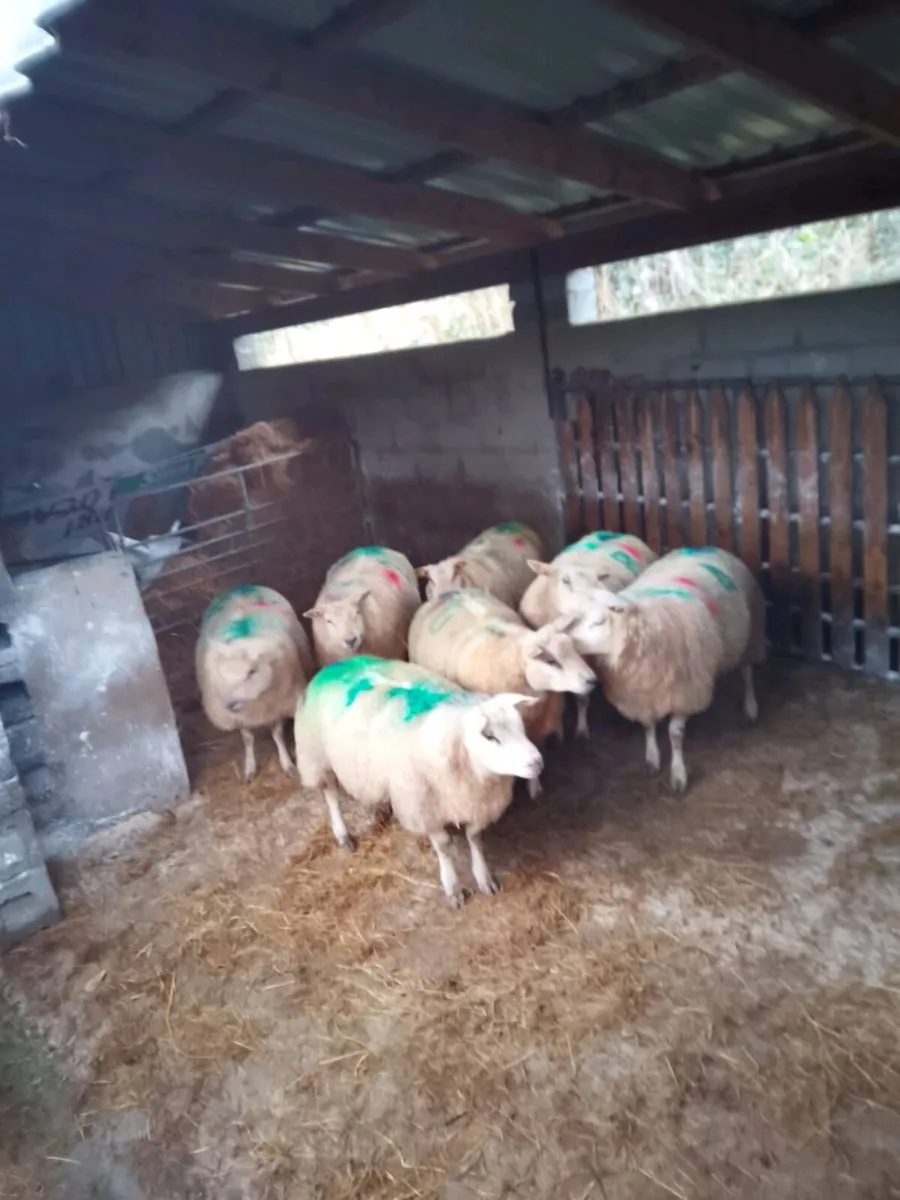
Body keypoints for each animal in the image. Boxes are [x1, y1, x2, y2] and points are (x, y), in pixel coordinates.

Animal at [196, 583, 315, 782]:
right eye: (221, 673)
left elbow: (277, 735)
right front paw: (250, 768)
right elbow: (247, 740)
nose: (230, 704)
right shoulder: (239, 718)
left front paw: (287, 764)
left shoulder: (278, 706)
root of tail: (242, 586)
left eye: (252, 671)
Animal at [294, 655, 543, 907]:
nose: (537, 762)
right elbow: (443, 845)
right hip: (317, 756)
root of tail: (334, 665)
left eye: (520, 726)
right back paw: (343, 834)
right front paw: (452, 887)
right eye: (489, 736)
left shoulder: (474, 803)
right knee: (331, 796)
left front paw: (484, 878)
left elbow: (474, 838)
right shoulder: (423, 806)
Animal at [566, 546, 766, 793]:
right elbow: (648, 726)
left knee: (747, 672)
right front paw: (652, 758)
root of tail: (708, 546)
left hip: (752, 632)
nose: (563, 640)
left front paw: (678, 774)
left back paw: (750, 707)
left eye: (599, 622)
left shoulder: (685, 691)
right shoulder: (641, 693)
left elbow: (675, 734)